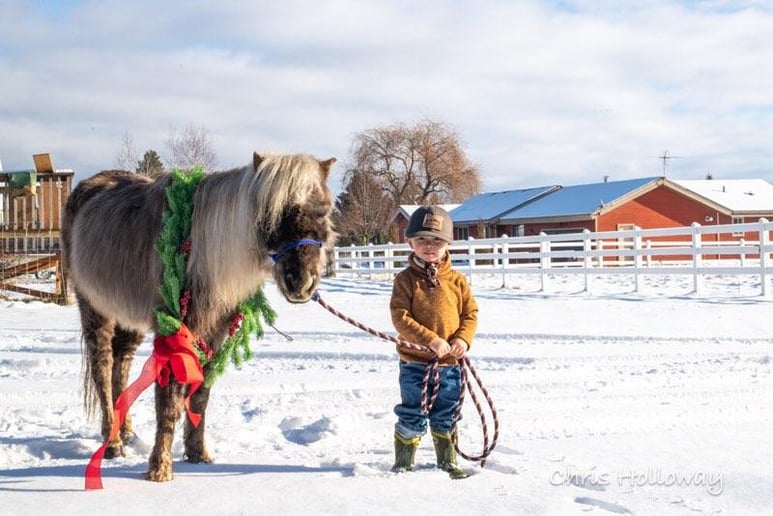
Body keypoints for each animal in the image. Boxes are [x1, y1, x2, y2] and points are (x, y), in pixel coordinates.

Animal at [61, 151, 336, 482]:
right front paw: (160, 469)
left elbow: (201, 395)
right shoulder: (172, 329)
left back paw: (125, 432)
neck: (202, 254)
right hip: (94, 309)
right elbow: (168, 401)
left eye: (323, 211)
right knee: (102, 368)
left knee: (120, 366)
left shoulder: (214, 333)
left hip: (127, 319)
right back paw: (112, 443)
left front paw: (197, 454)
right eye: (270, 215)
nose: (302, 282)